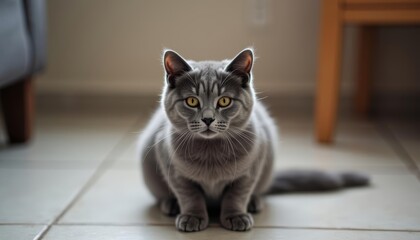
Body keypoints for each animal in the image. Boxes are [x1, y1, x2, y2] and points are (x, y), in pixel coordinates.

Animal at [139, 47, 368, 232]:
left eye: (224, 101)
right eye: (192, 101)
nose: (208, 118)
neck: (211, 154)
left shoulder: (252, 167)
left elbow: (237, 194)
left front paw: (236, 216)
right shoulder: (172, 167)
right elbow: (189, 194)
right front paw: (192, 216)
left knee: (257, 191)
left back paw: (254, 202)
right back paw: (171, 204)